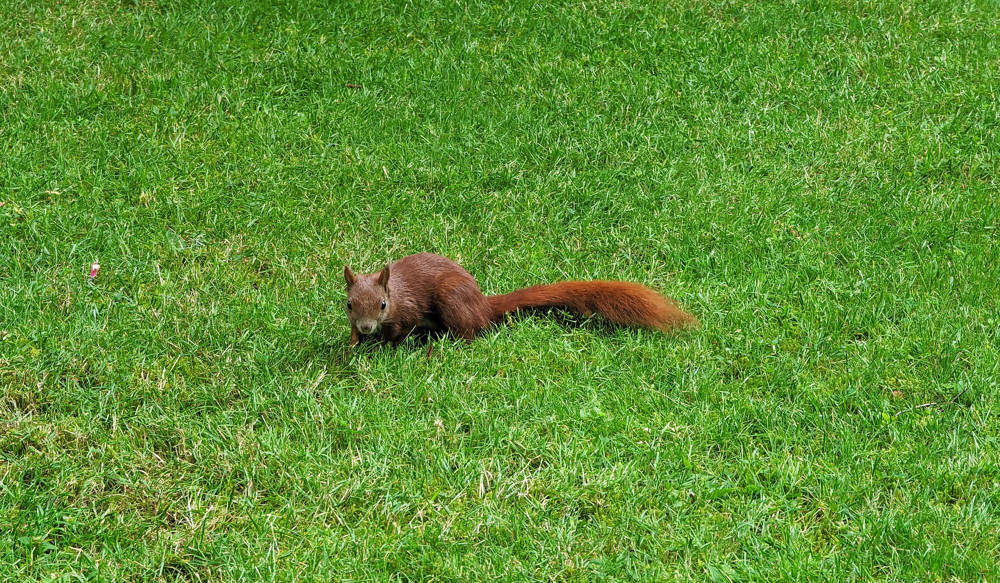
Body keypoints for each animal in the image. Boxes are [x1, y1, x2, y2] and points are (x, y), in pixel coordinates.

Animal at [344, 252, 696, 346]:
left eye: (383, 305)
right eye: (348, 304)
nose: (366, 327)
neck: (395, 292)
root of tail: (482, 303)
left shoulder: (407, 312)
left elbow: (399, 332)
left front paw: (386, 347)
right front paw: (353, 346)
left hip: (451, 301)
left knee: (469, 333)